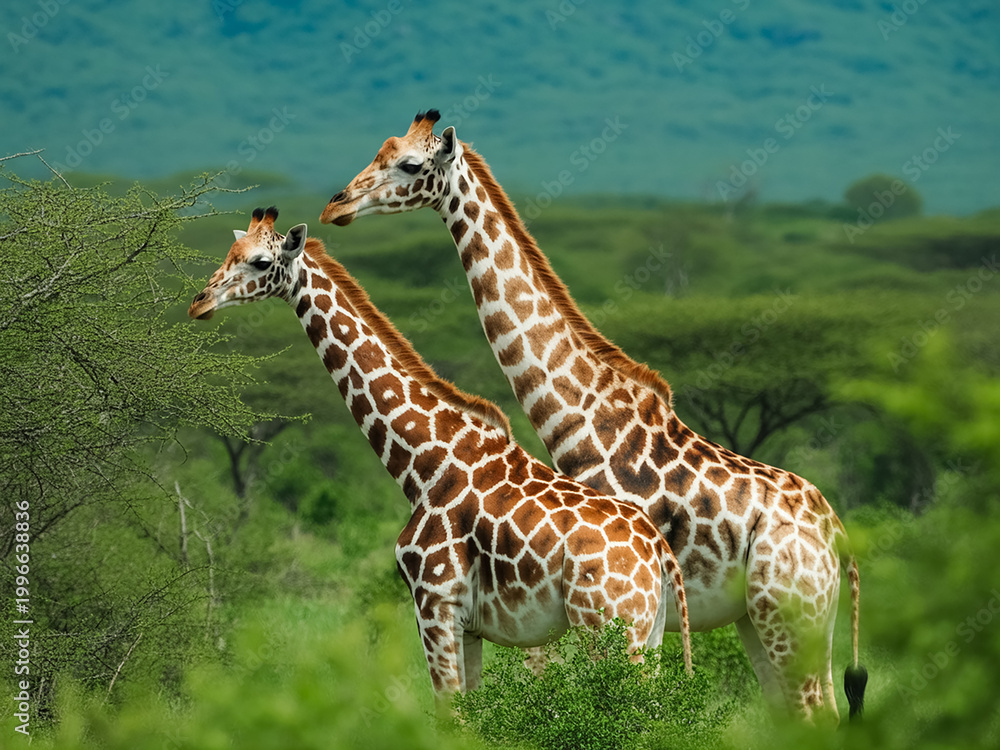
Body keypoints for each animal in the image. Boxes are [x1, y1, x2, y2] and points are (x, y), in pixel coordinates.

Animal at [188, 206, 693, 702]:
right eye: (230, 252)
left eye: (259, 262)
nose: (199, 302)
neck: (423, 463)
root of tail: (660, 553)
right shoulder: (466, 625)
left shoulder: (434, 602)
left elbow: (448, 710)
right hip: (649, 632)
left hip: (608, 627)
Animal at [319, 111, 868, 724]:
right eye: (381, 150)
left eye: (411, 164)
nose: (337, 205)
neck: (581, 416)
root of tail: (838, 535)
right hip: (770, 618)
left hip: (786, 612)